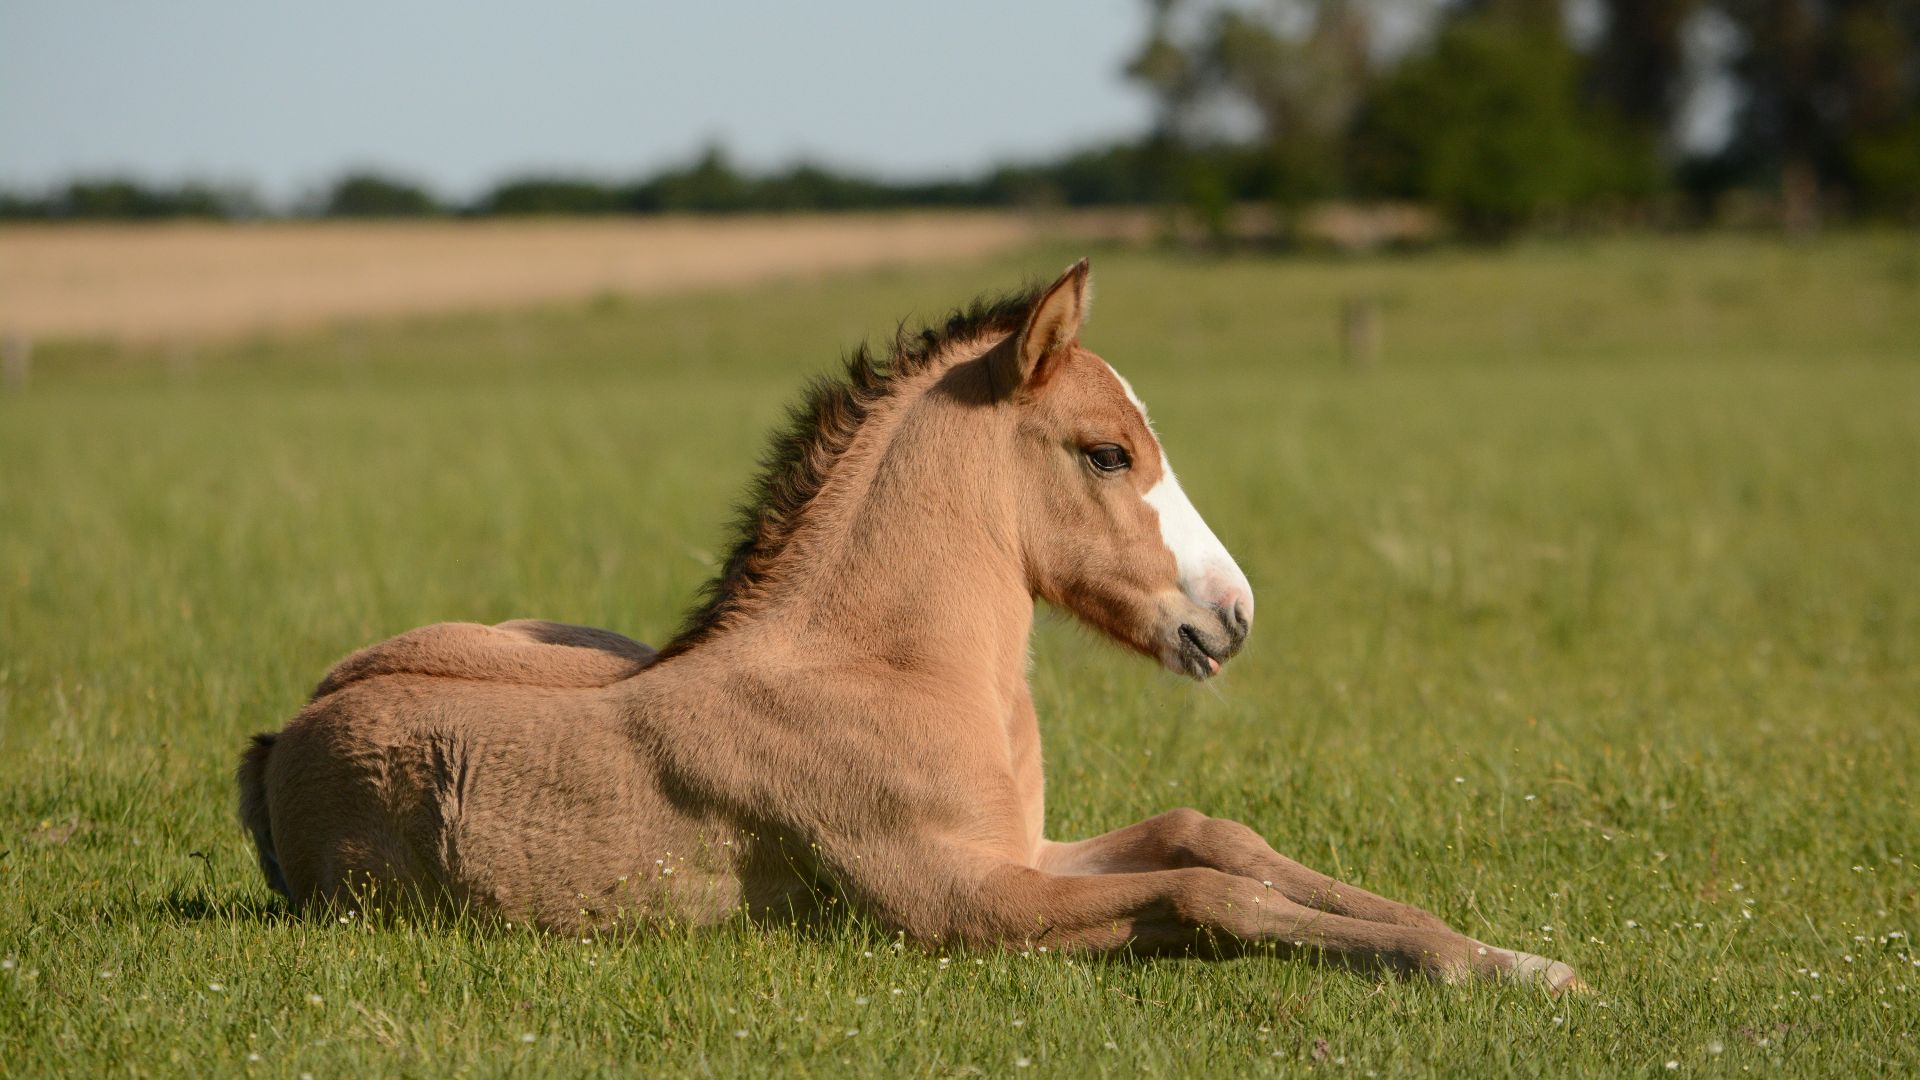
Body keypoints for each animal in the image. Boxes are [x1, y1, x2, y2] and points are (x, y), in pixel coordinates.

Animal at [238, 260, 1582, 991]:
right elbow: (1210, 896)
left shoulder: (1026, 851)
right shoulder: (962, 904)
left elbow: (1216, 838)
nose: (1233, 615)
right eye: (1107, 452)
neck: (888, 672)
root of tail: (279, 735)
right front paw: (1481, 968)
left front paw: (1510, 955)